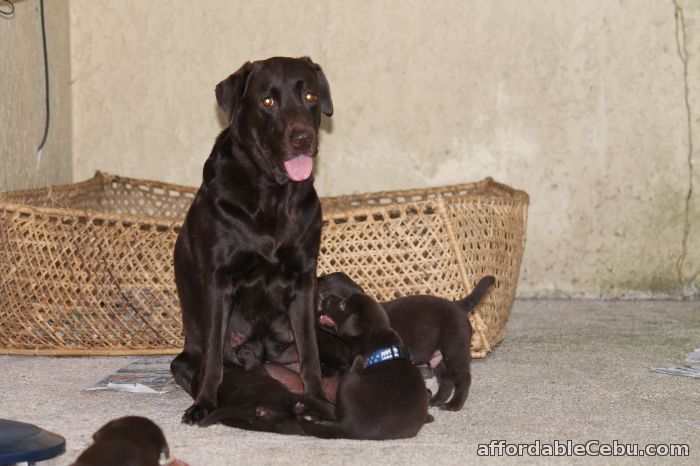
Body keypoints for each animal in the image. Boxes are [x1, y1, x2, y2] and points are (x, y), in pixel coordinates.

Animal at [320, 274, 494, 412]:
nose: (326, 298)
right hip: (438, 357)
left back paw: (454, 404)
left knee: (463, 378)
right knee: (446, 381)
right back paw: (435, 400)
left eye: (341, 304)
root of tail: (458, 305)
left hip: (454, 350)